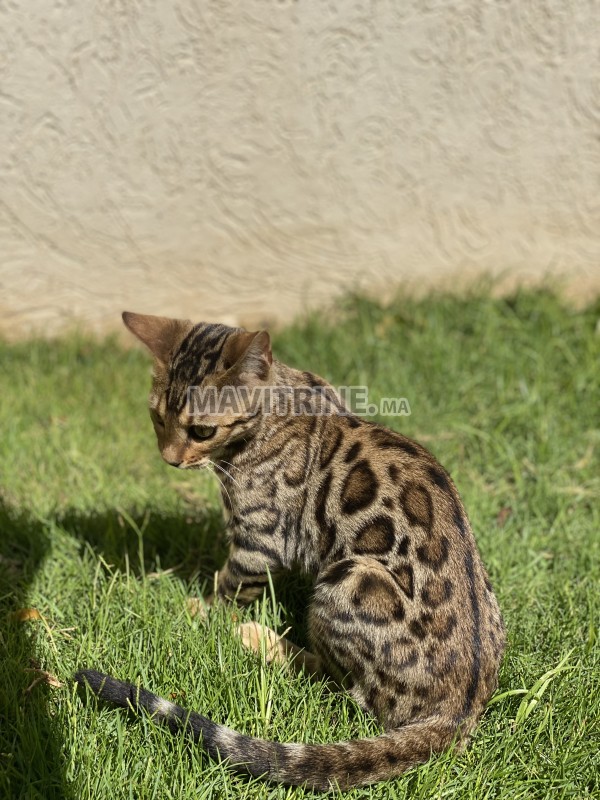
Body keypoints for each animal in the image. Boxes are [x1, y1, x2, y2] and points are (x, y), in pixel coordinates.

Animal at [75, 310, 506, 788]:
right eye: (156, 419)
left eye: (202, 430)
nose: (169, 458)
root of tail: (460, 707)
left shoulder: (260, 539)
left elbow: (229, 587)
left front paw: (200, 611)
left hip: (349, 579)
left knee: (343, 685)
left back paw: (260, 640)